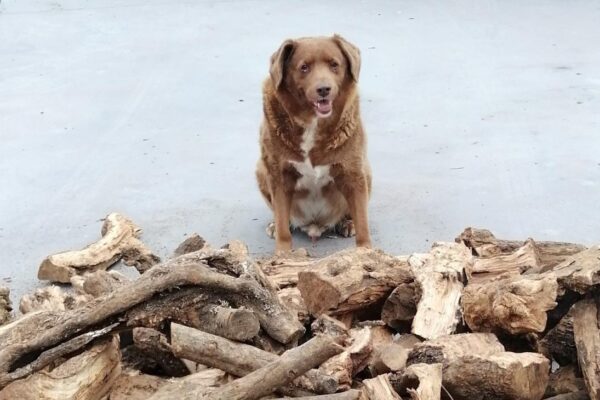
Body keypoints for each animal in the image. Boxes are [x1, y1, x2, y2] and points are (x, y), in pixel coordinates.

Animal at [256, 35, 372, 253]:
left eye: (334, 64)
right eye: (304, 67)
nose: (324, 89)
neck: (312, 123)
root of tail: (314, 225)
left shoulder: (353, 173)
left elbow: (363, 223)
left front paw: (366, 252)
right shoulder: (279, 175)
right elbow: (283, 224)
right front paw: (283, 254)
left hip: (367, 172)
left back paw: (347, 223)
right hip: (261, 169)